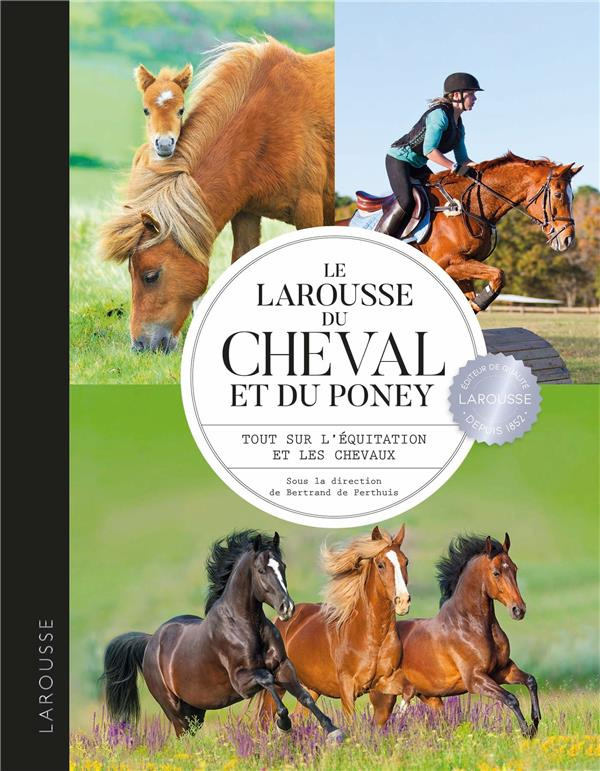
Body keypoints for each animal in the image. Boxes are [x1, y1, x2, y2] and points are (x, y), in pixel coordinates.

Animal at [102, 530, 344, 742]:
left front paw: (334, 731)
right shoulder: (242, 682)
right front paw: (284, 725)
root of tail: (151, 641)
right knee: (183, 737)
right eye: (261, 570)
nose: (287, 608)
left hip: (195, 710)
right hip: (174, 710)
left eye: (282, 566)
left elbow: (304, 696)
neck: (246, 626)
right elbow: (268, 681)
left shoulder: (283, 666)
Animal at [257, 525, 410, 726]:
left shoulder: (385, 681)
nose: (403, 601)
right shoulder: (347, 687)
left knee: (299, 717)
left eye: (406, 562)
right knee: (264, 720)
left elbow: (402, 696)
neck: (372, 636)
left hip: (311, 687)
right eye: (381, 565)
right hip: (278, 684)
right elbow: (351, 721)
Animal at [339, 153, 582, 312]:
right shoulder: (448, 263)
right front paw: (479, 303)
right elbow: (498, 275)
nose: (567, 239)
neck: (469, 207)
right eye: (559, 195)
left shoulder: (464, 265)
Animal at [368, 533, 541, 738]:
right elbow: (511, 698)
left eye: (514, 569)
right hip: (384, 698)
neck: (469, 626)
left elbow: (531, 681)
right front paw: (527, 731)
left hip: (430, 698)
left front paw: (536, 721)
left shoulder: (502, 670)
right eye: (496, 572)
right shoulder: (475, 679)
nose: (518, 610)